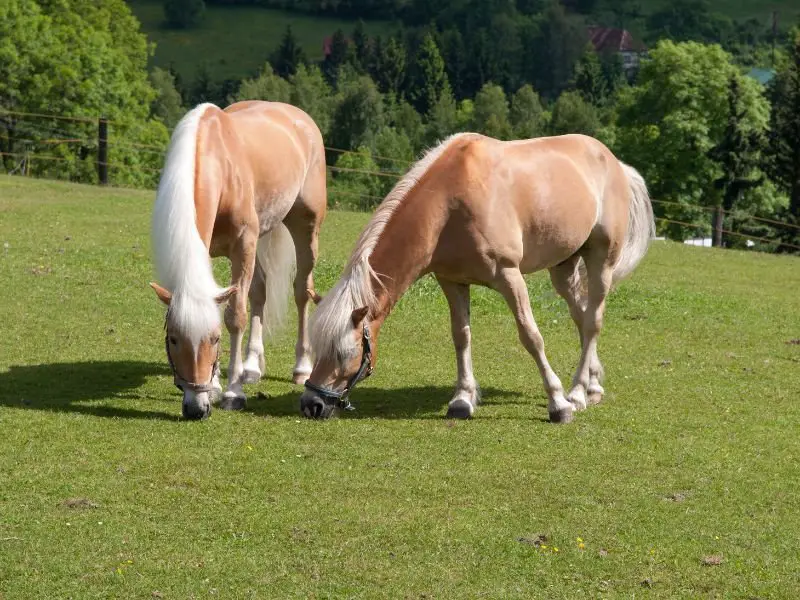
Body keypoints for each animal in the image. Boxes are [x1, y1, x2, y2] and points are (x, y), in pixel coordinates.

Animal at [148, 101, 326, 420]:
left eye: (215, 339)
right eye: (174, 339)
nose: (196, 409)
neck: (219, 166)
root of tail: (298, 117)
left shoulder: (243, 245)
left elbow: (235, 317)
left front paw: (233, 392)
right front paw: (218, 384)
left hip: (305, 229)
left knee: (302, 291)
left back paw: (301, 367)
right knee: (259, 292)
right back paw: (251, 367)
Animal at [300, 132, 656, 422]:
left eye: (344, 352)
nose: (311, 405)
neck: (449, 204)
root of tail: (615, 163)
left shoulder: (509, 277)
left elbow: (531, 336)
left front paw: (557, 404)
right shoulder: (452, 281)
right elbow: (461, 337)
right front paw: (462, 400)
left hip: (600, 260)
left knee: (594, 320)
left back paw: (578, 393)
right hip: (563, 270)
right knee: (582, 318)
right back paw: (593, 385)